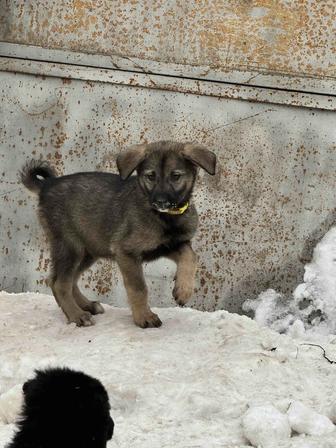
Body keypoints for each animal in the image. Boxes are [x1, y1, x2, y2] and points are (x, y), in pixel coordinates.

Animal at [21, 142, 217, 328]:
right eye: (150, 176)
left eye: (176, 176)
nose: (160, 202)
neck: (166, 218)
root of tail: (46, 185)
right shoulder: (126, 252)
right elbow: (139, 288)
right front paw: (144, 317)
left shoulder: (171, 245)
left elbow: (191, 257)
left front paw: (183, 290)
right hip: (70, 247)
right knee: (59, 283)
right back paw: (77, 316)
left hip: (89, 250)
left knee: (70, 280)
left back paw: (87, 306)